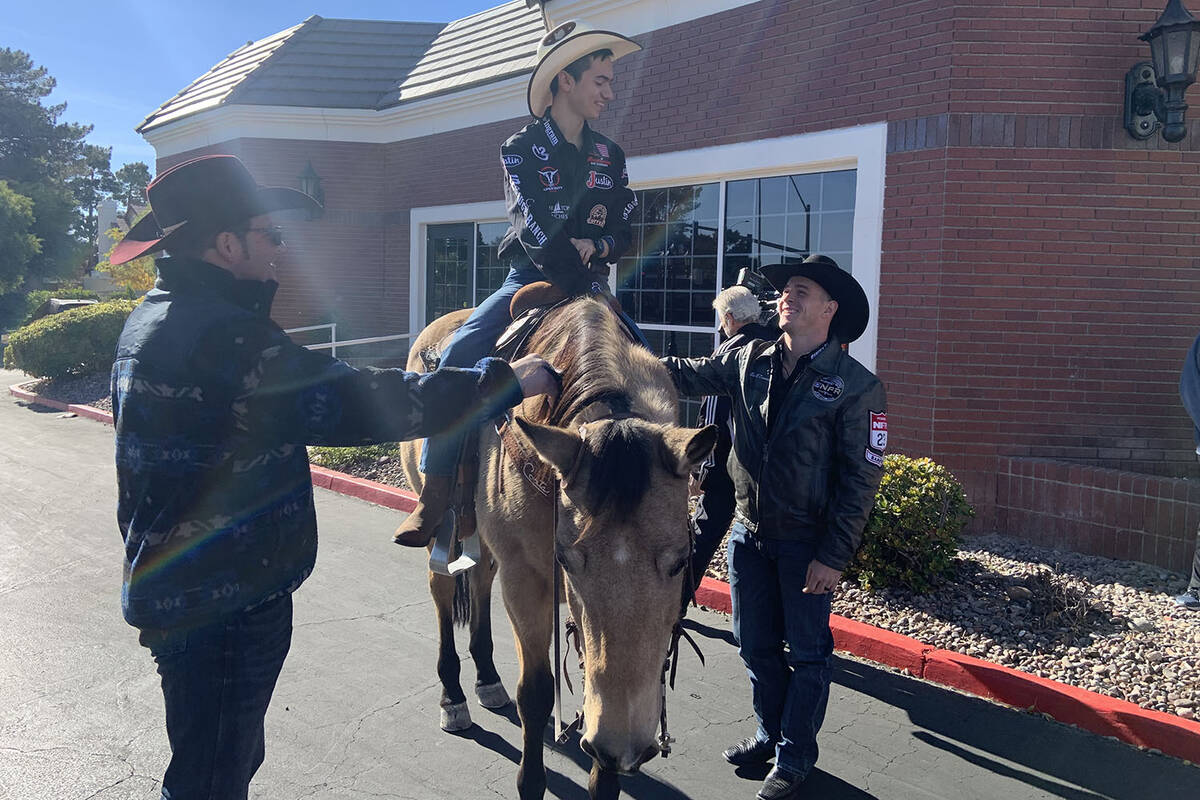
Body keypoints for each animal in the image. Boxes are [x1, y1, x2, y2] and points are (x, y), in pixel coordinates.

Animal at [396, 296, 710, 800]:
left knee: (480, 577)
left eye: (681, 561)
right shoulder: (527, 580)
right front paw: (531, 780)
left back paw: (487, 679)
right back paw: (454, 698)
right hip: (441, 521)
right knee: (442, 587)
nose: (623, 746)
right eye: (566, 560)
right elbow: (537, 693)